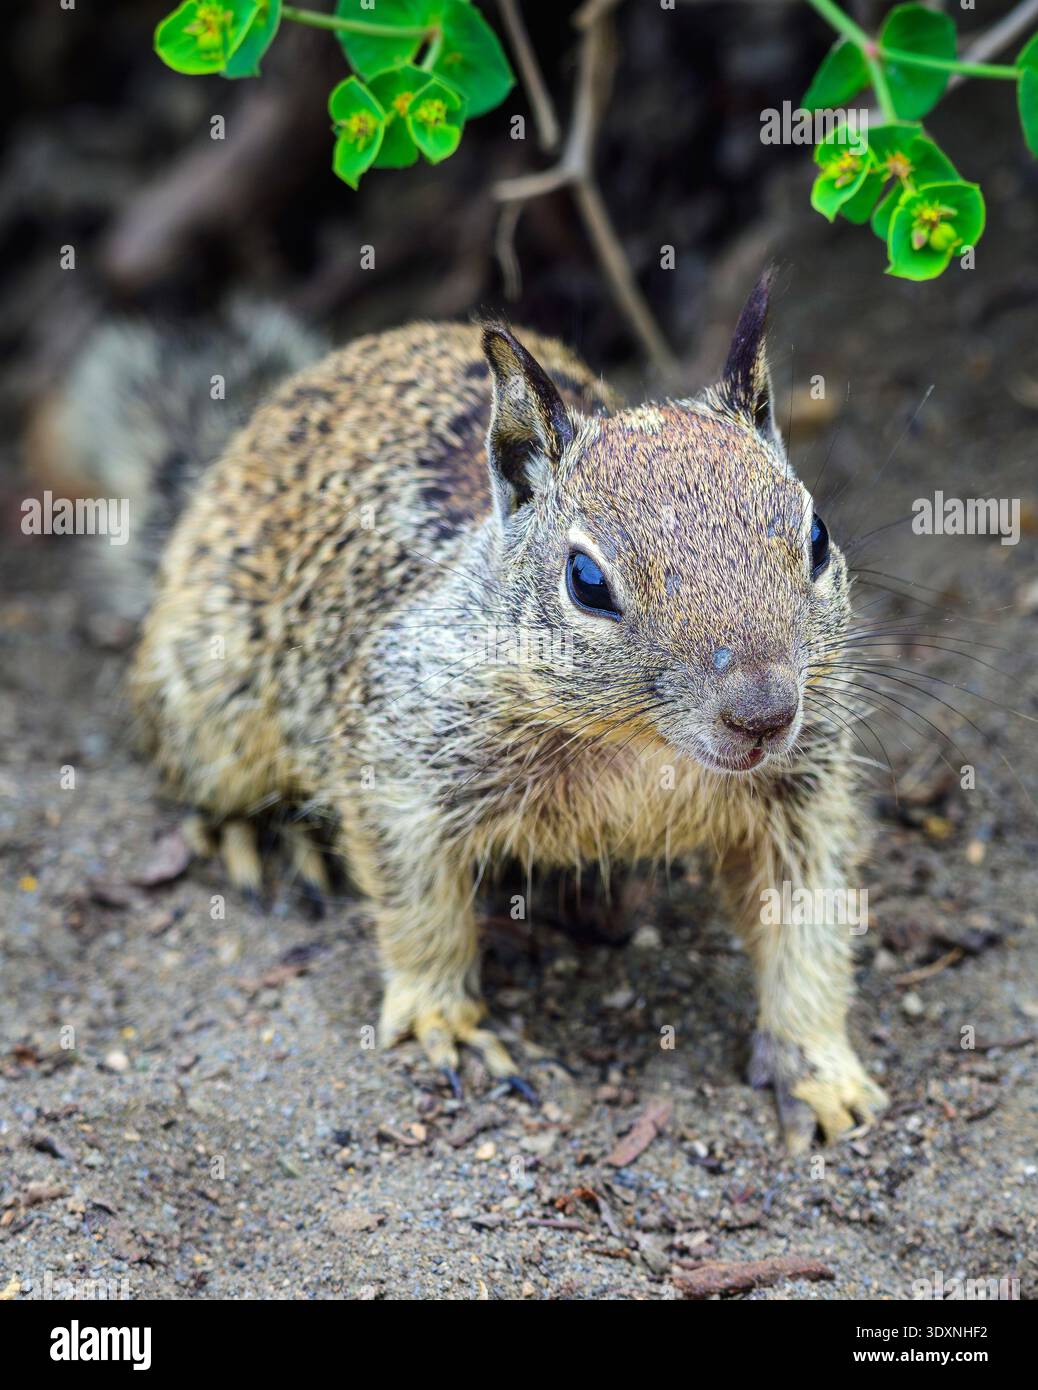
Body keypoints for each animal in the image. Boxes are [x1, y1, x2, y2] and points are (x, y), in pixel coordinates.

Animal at [46, 274, 888, 1152]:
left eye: (817, 536)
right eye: (588, 581)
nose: (763, 714)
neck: (641, 746)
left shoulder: (805, 799)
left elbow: (808, 933)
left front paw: (820, 1068)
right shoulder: (398, 764)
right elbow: (420, 910)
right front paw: (443, 1019)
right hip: (214, 703)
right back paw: (262, 834)